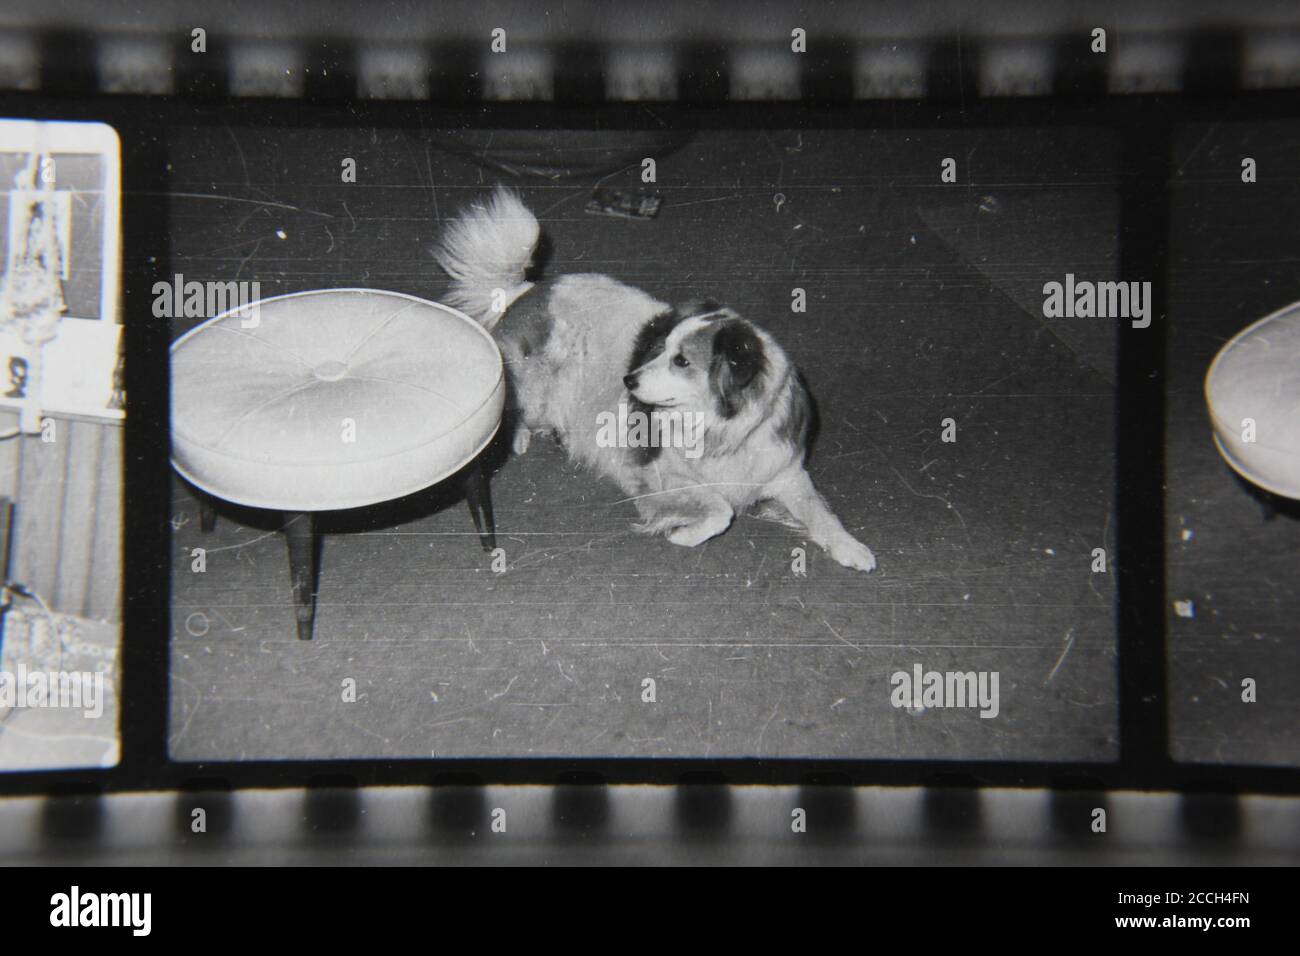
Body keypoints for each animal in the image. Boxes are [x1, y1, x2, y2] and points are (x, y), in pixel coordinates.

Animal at [434, 189, 873, 572]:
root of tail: (529, 290)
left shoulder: (786, 474)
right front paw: (684, 534)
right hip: (532, 387)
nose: (627, 380)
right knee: (513, 408)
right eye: (660, 349)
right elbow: (720, 509)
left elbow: (822, 513)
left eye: (680, 360)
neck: (725, 428)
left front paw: (851, 547)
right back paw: (519, 436)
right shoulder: (659, 473)